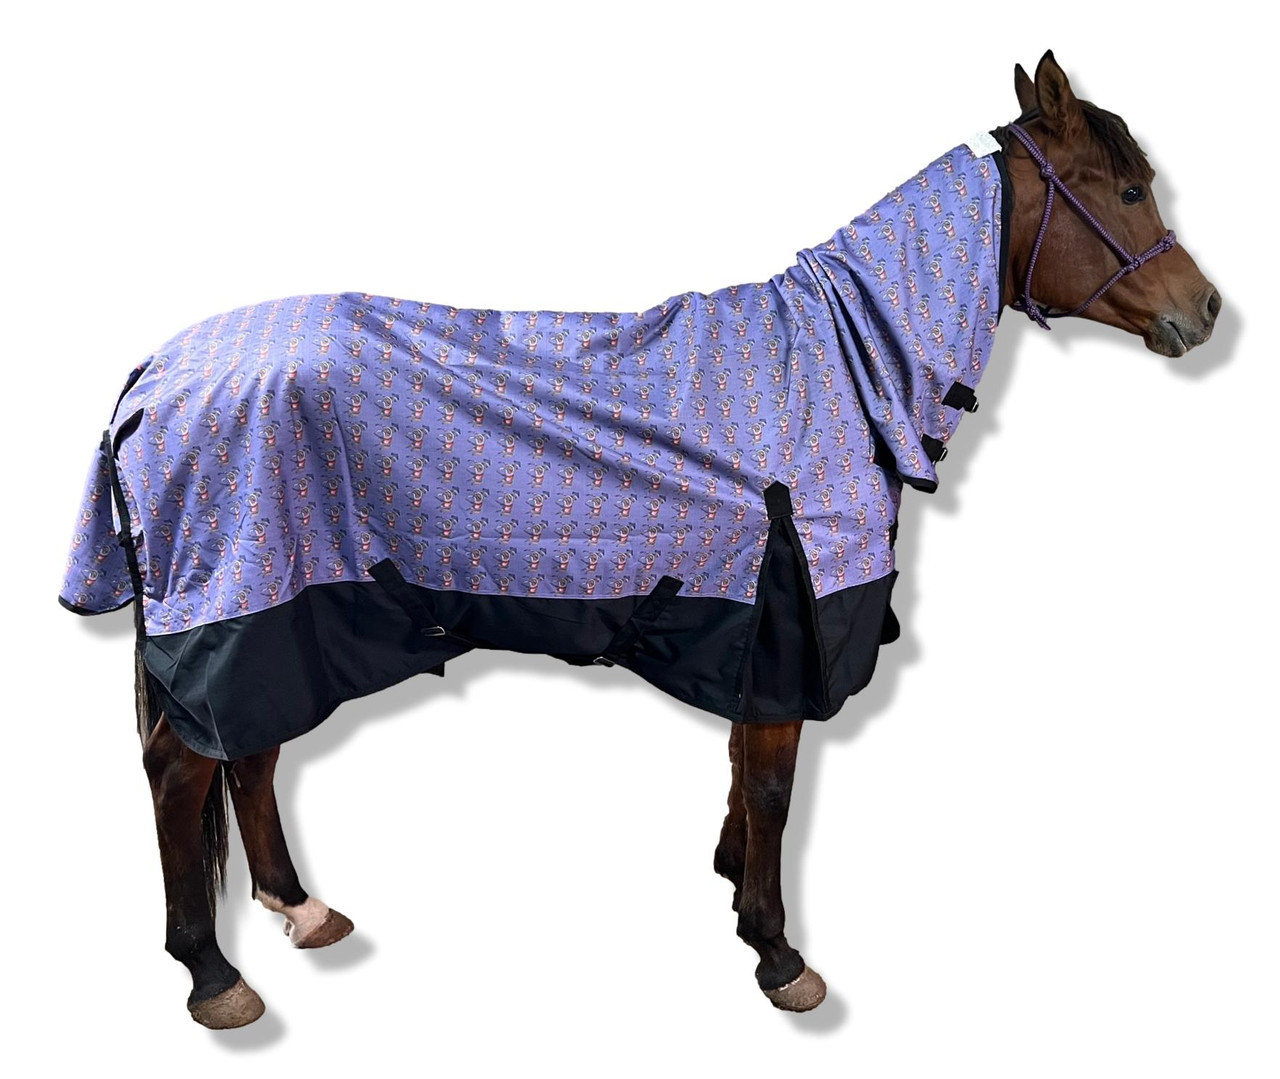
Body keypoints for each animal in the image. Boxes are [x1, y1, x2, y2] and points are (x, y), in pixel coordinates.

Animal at [58, 51, 1220, 1028]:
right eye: (1125, 192)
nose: (1203, 310)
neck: (841, 365)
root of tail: (155, 371)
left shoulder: (751, 630)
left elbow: (745, 780)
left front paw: (731, 881)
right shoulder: (783, 628)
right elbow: (772, 789)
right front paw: (775, 950)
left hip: (272, 615)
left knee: (247, 753)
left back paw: (301, 908)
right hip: (242, 606)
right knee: (183, 770)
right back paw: (213, 974)